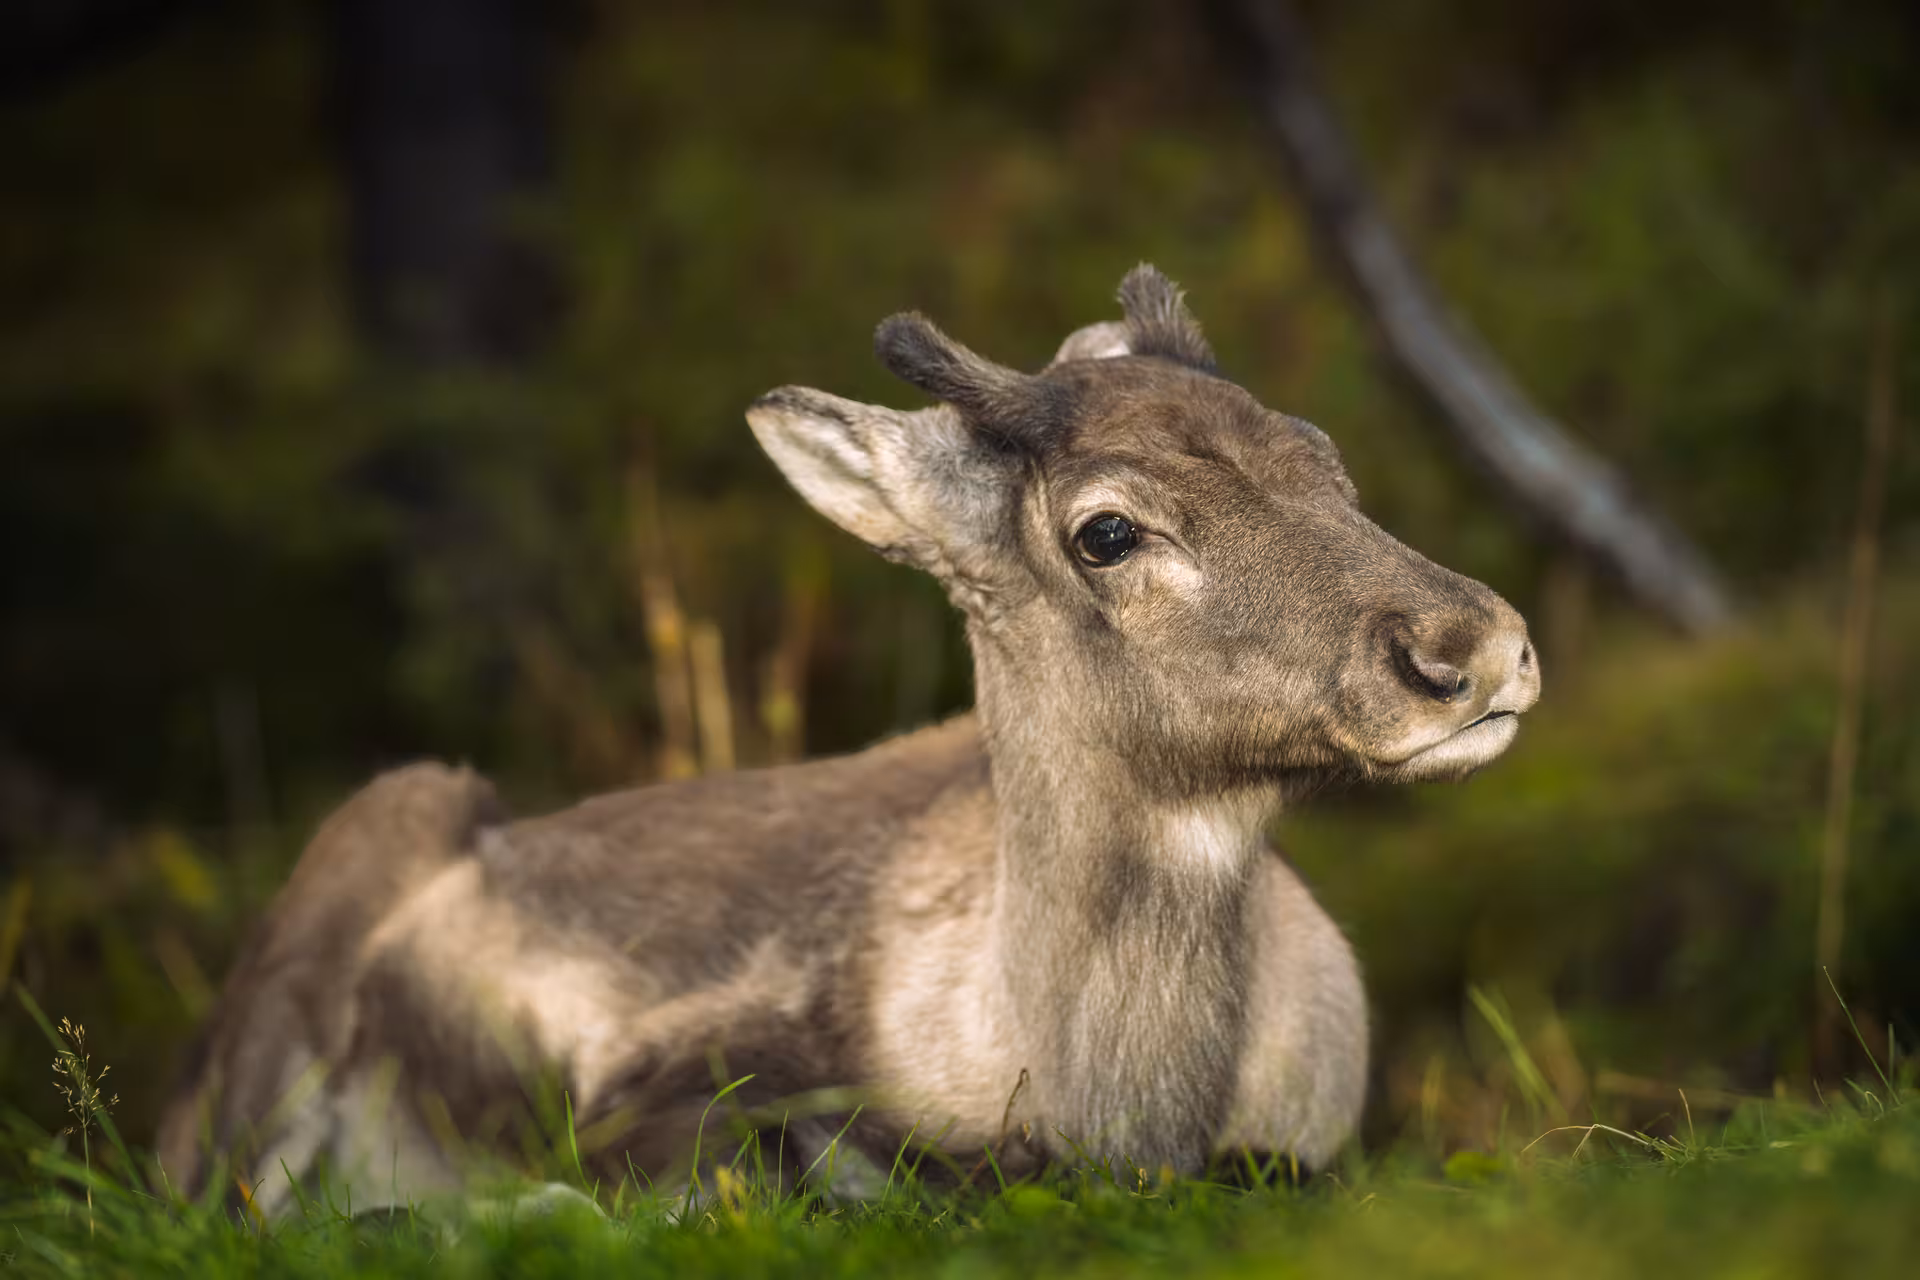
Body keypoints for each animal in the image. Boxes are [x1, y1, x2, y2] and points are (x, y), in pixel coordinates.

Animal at [157, 266, 1539, 1215]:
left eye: (1321, 454)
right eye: (1107, 529)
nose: (1473, 646)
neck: (1119, 1109)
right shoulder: (662, 1072)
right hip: (329, 912)